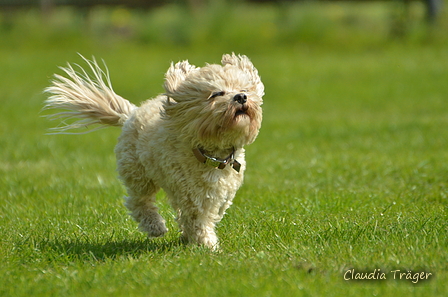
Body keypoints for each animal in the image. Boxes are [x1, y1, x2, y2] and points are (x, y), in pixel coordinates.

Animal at [43, 53, 262, 250]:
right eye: (216, 94)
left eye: (244, 89)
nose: (241, 97)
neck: (211, 154)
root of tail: (130, 114)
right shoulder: (192, 195)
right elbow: (198, 219)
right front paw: (207, 245)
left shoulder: (221, 192)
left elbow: (212, 211)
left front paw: (193, 238)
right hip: (138, 174)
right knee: (138, 202)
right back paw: (155, 226)